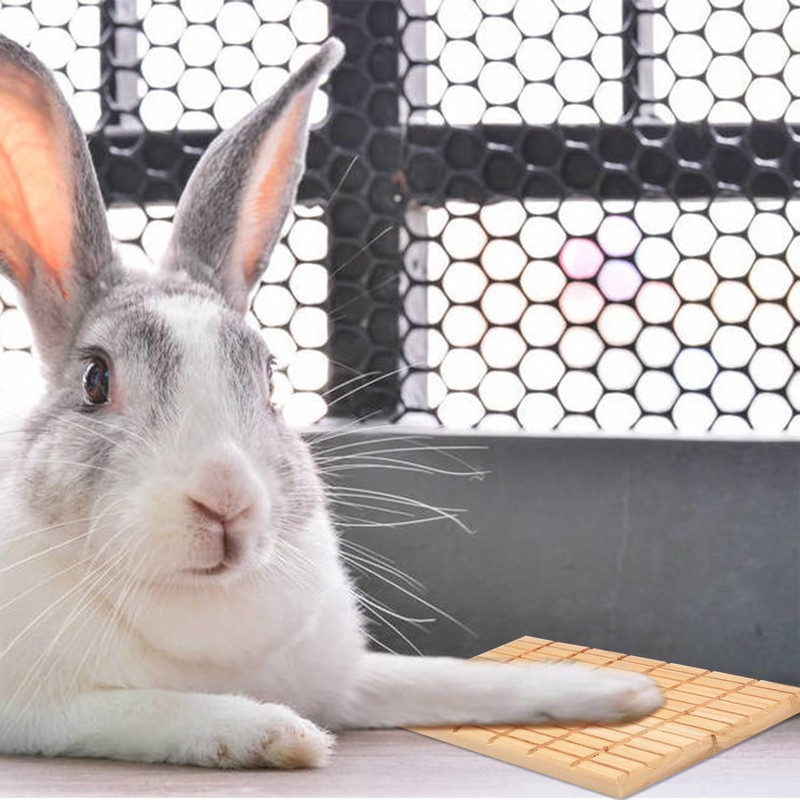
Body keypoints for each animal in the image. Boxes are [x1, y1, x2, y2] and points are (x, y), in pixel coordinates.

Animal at [0, 33, 662, 769]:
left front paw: (620, 692)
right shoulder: (42, 712)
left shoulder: (349, 679)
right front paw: (277, 733)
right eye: (96, 380)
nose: (227, 499)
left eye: (269, 377)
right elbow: (145, 709)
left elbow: (443, 676)